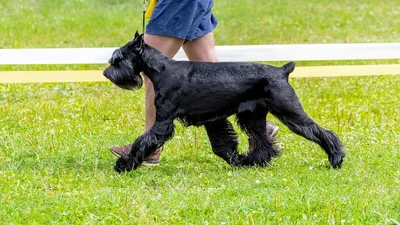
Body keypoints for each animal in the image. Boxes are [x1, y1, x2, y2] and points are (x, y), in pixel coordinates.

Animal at [103, 31, 344, 172]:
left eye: (118, 59)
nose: (106, 73)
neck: (162, 70)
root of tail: (282, 71)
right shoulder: (212, 118)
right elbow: (222, 143)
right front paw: (236, 159)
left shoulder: (163, 122)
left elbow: (145, 140)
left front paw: (124, 164)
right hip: (253, 117)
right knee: (263, 142)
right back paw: (252, 162)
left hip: (290, 112)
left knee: (322, 132)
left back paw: (336, 159)